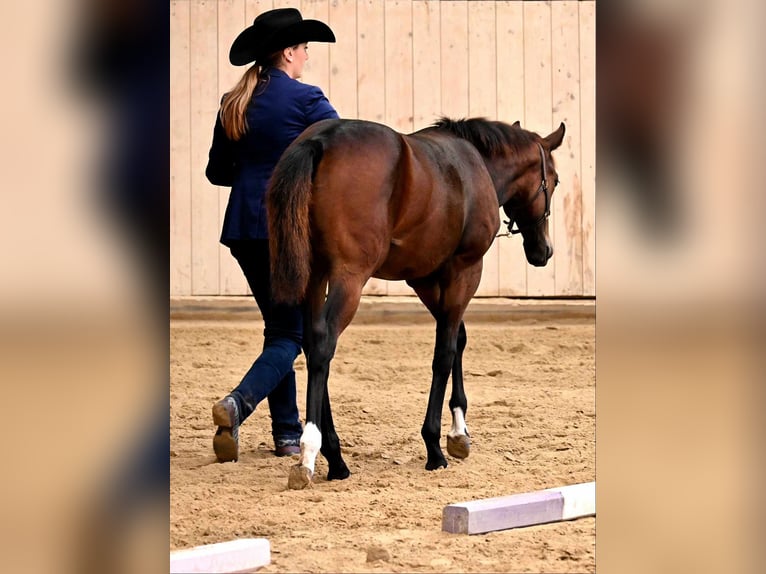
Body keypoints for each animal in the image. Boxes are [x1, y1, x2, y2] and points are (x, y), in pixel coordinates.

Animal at [268, 117, 568, 490]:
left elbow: (457, 339)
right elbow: (445, 353)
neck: (477, 163)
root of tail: (321, 140)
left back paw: (335, 457)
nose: (544, 250)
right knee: (323, 345)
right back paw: (310, 452)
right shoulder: (465, 270)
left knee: (311, 345)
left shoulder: (424, 278)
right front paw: (436, 446)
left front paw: (459, 432)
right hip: (348, 277)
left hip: (316, 276)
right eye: (553, 180)